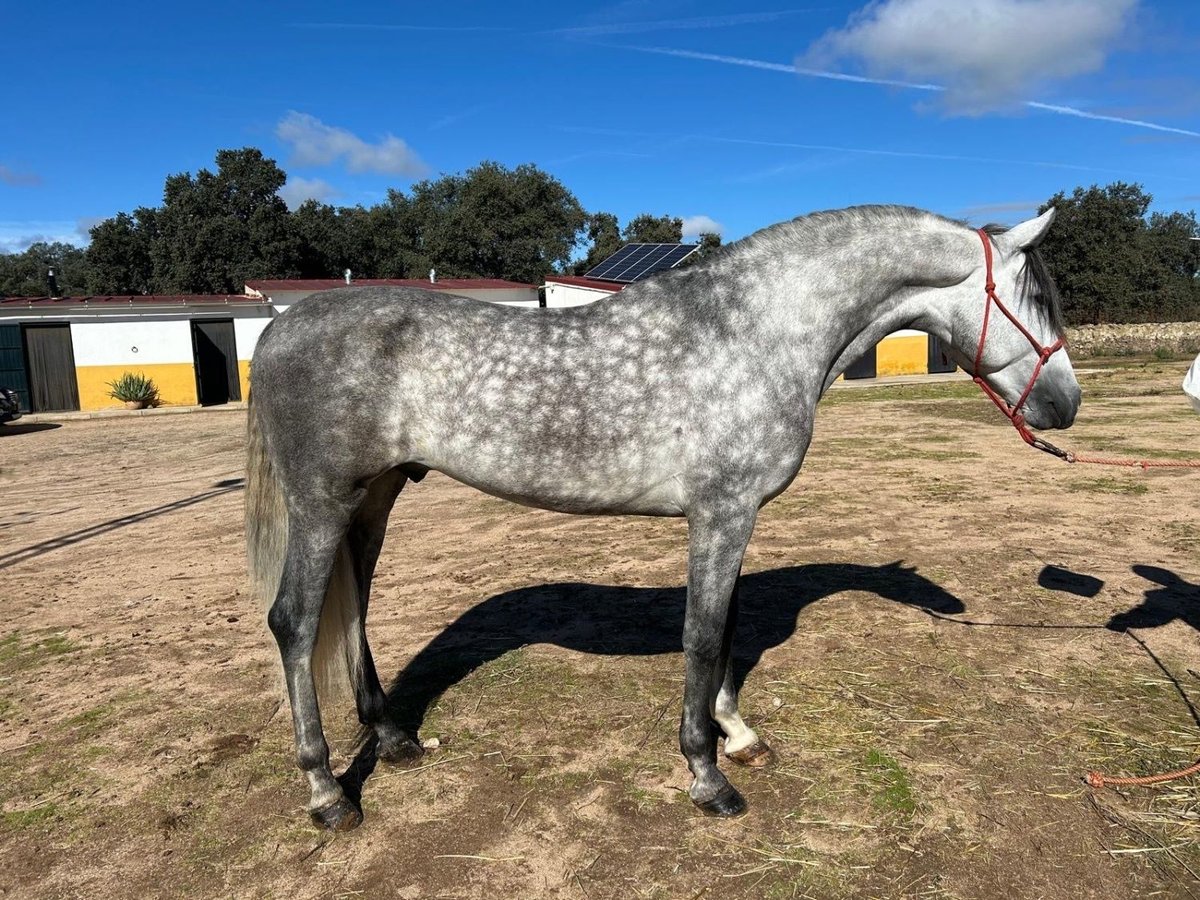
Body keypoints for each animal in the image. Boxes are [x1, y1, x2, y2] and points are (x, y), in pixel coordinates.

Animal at [243, 204, 1080, 830]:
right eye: (1036, 299)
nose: (1066, 404)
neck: (753, 331)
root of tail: (280, 327)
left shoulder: (733, 516)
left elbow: (729, 629)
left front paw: (737, 735)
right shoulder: (721, 513)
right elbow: (705, 636)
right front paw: (707, 775)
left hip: (374, 497)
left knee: (352, 608)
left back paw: (392, 740)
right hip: (322, 502)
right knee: (294, 622)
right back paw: (327, 793)